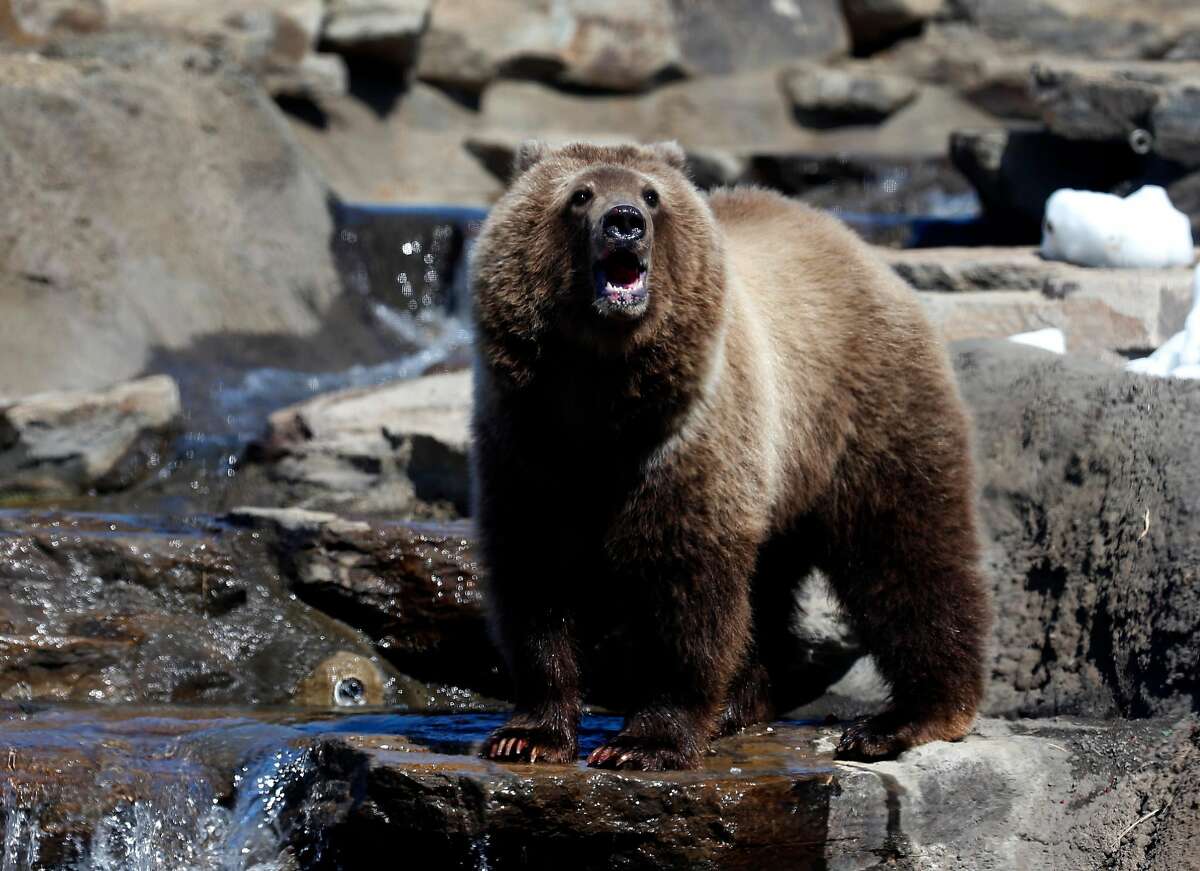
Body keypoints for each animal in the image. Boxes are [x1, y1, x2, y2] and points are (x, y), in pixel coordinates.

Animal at [472, 139, 988, 772]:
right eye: (580, 194)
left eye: (651, 194)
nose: (625, 222)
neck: (604, 395)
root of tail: (854, 243)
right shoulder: (529, 441)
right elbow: (537, 573)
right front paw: (528, 733)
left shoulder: (686, 439)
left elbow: (684, 584)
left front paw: (644, 741)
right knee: (772, 582)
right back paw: (742, 704)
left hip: (864, 409)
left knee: (907, 548)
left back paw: (906, 718)